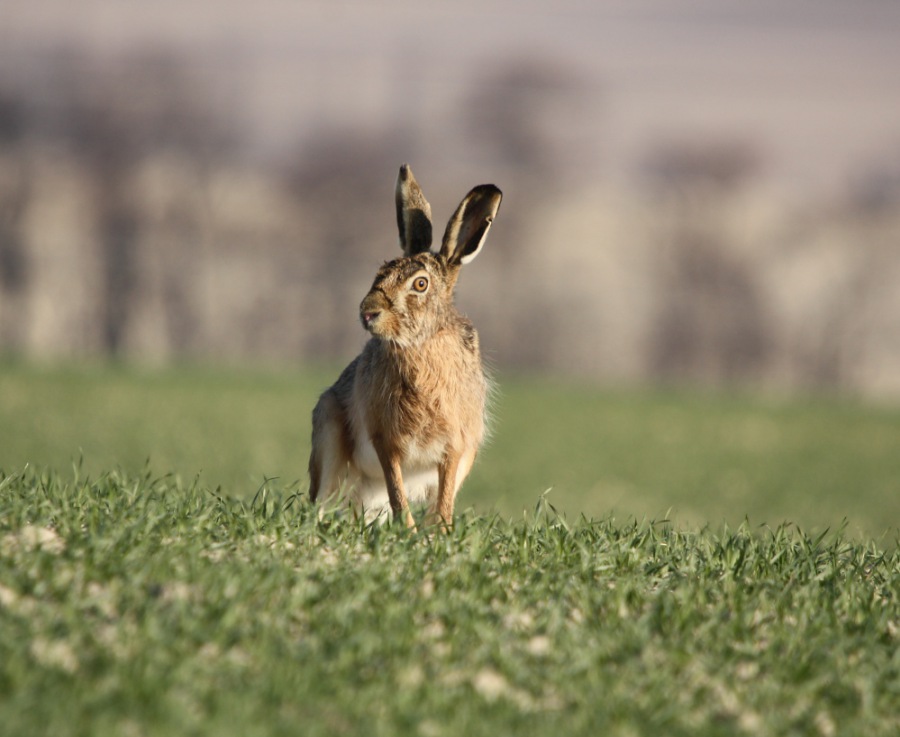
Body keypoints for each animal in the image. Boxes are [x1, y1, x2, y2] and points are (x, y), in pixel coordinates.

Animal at [308, 164, 502, 530]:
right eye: (380, 273)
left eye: (420, 284)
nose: (368, 311)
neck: (421, 347)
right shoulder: (386, 441)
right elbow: (397, 490)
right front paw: (408, 531)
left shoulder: (456, 446)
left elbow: (442, 499)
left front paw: (438, 533)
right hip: (327, 430)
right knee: (321, 498)